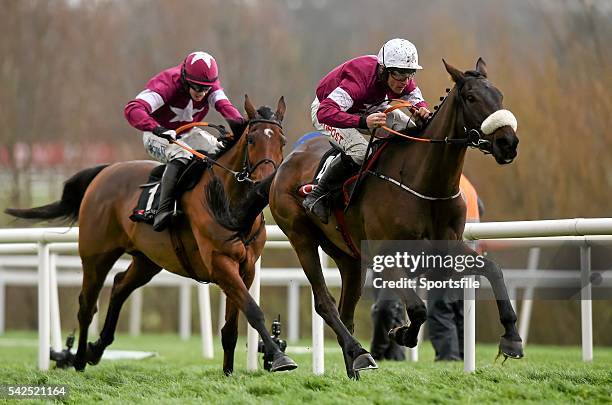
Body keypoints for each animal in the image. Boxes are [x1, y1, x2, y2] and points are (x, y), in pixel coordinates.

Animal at [5, 96, 298, 374]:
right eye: (251, 139)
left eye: (282, 141)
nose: (264, 180)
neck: (230, 206)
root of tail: (105, 170)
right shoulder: (221, 264)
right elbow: (253, 310)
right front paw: (280, 357)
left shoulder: (246, 268)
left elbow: (232, 327)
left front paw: (228, 372)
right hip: (96, 254)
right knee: (87, 304)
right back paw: (77, 359)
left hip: (147, 260)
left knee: (120, 286)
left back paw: (95, 349)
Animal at [270, 58, 524, 378]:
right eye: (471, 97)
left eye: (499, 95)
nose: (508, 143)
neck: (425, 184)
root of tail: (286, 163)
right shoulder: (387, 258)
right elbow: (417, 309)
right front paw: (401, 334)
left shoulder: (447, 251)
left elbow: (493, 269)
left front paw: (512, 338)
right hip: (301, 238)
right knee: (325, 303)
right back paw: (360, 353)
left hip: (349, 258)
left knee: (346, 312)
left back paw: (354, 365)